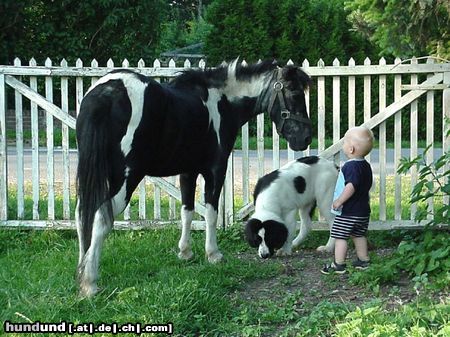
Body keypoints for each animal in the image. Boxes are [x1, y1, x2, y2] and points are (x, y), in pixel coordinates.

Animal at [75, 59, 312, 296]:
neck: (223, 101)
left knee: (82, 214)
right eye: (294, 93)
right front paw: (213, 254)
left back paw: (81, 268)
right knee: (100, 217)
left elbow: (187, 212)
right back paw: (90, 282)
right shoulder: (215, 171)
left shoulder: (188, 172)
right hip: (126, 179)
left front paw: (185, 252)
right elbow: (211, 213)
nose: (305, 139)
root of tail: (106, 91)